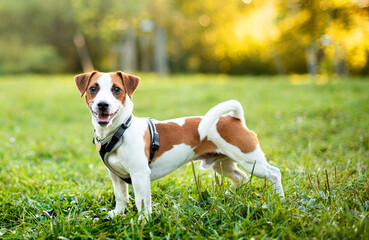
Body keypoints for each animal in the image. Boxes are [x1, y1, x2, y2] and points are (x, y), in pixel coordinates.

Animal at [73, 71, 284, 219]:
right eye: (93, 89)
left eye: (116, 89)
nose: (102, 104)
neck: (119, 131)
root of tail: (234, 118)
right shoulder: (116, 176)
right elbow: (121, 197)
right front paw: (117, 214)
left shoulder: (140, 175)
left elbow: (142, 201)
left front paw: (142, 221)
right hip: (222, 163)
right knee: (240, 177)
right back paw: (232, 195)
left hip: (250, 160)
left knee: (274, 173)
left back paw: (279, 199)